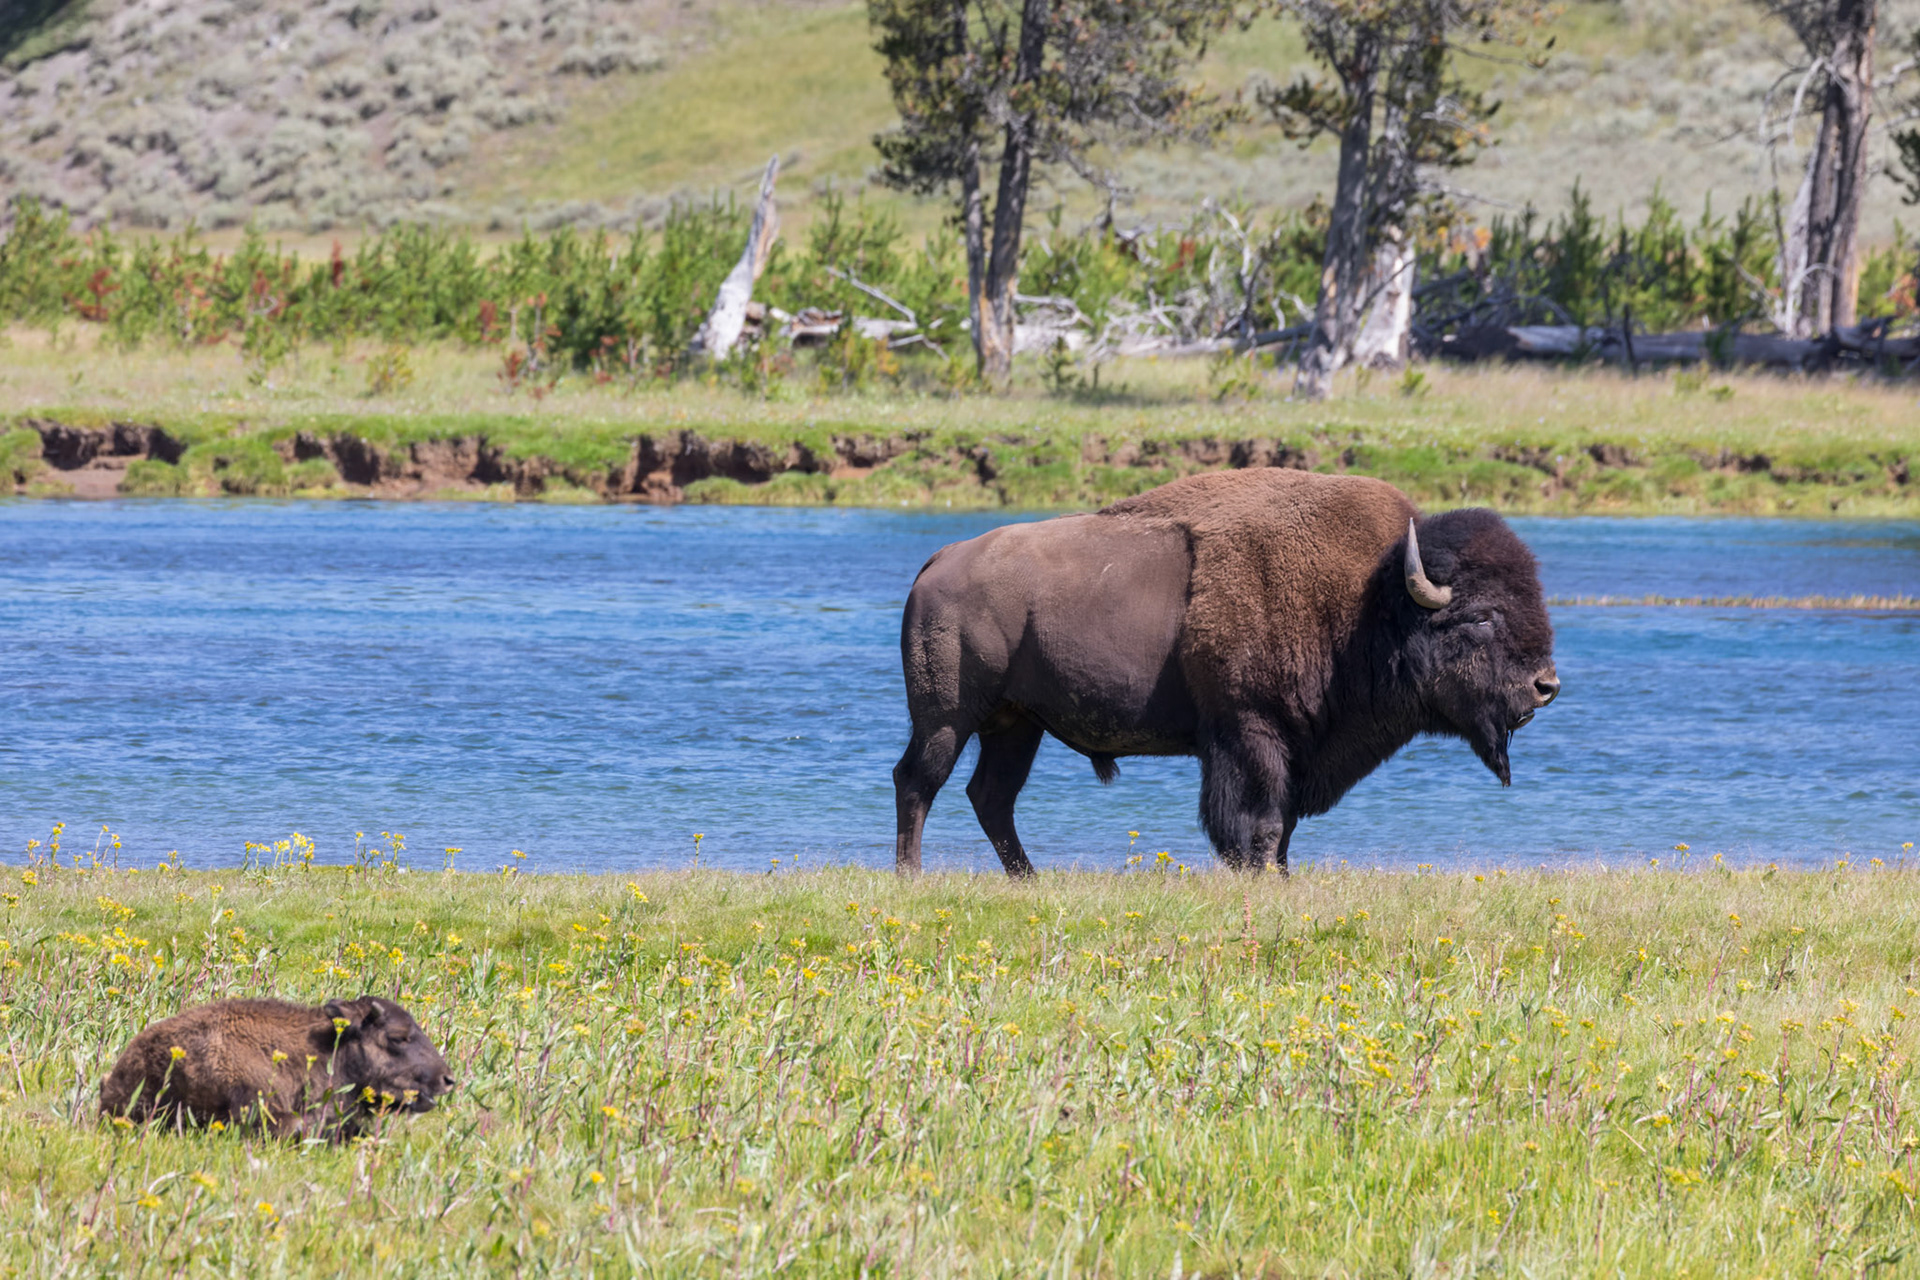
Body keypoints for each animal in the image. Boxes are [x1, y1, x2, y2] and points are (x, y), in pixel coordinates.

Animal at [892, 469, 1559, 876]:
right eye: (1480, 616)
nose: (1546, 685)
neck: (1370, 598)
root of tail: (940, 560)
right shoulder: (1249, 732)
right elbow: (1259, 824)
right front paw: (1260, 876)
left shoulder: (1294, 750)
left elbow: (1282, 827)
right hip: (947, 716)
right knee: (918, 782)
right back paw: (912, 876)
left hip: (1015, 724)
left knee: (990, 796)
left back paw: (1030, 880)